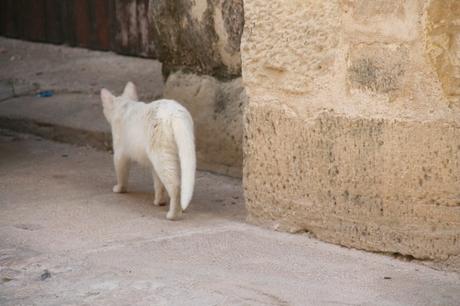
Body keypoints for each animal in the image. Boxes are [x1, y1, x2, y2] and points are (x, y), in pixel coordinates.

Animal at [99, 81, 195, 220]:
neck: (124, 106)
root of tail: (175, 113)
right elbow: (158, 183)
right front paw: (159, 201)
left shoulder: (120, 153)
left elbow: (121, 172)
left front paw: (119, 188)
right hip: (176, 150)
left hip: (161, 154)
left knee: (175, 185)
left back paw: (173, 214)